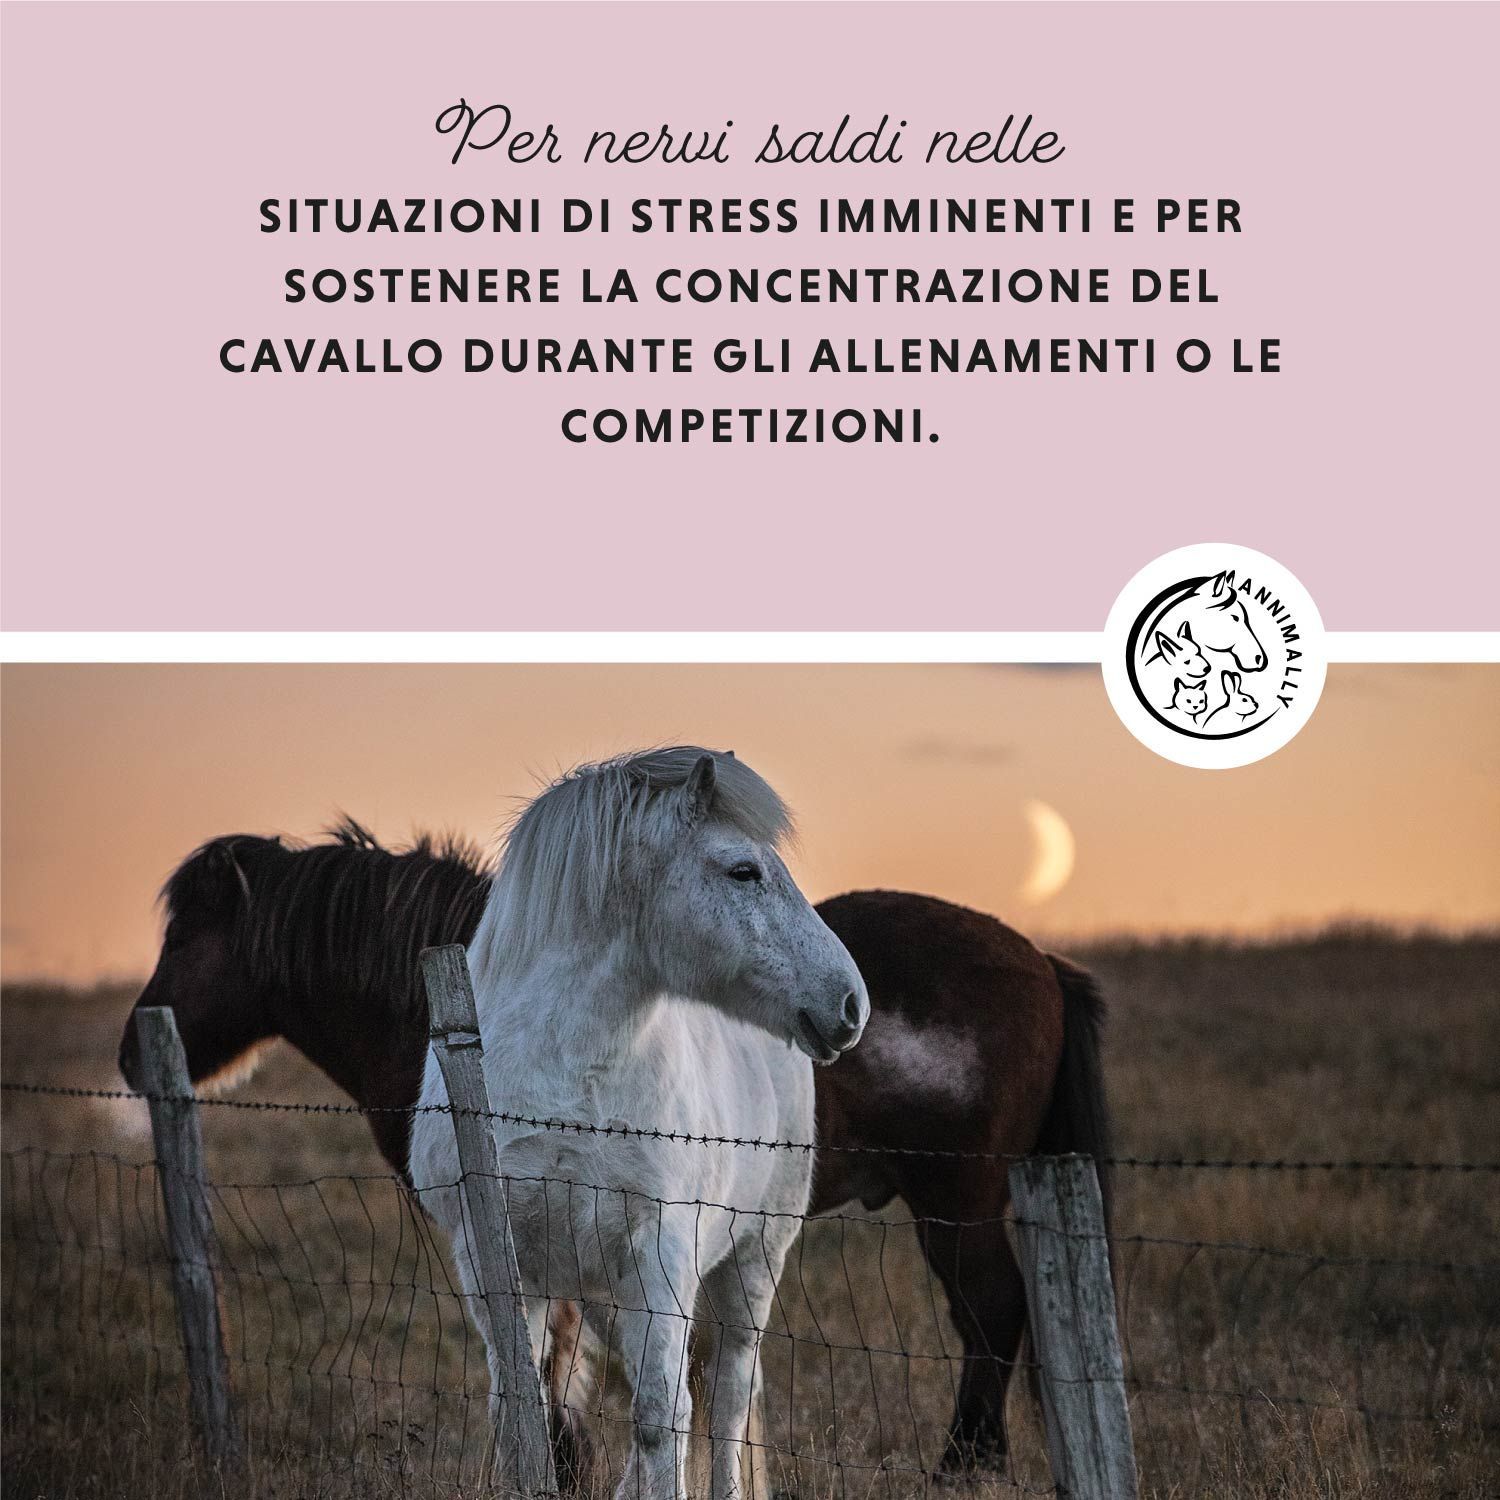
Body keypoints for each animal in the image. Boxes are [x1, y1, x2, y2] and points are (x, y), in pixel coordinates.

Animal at [121, 817, 1111, 1472]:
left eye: (188, 935)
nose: (131, 1050)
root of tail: (1043, 964)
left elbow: (564, 1387)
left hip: (956, 1207)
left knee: (991, 1317)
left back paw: (966, 1466)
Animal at [406, 748, 867, 1500]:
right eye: (744, 871)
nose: (851, 1003)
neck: (565, 1076)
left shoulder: (661, 1250)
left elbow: (662, 1415)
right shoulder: (493, 1258)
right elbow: (519, 1407)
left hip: (752, 1260)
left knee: (725, 1400)